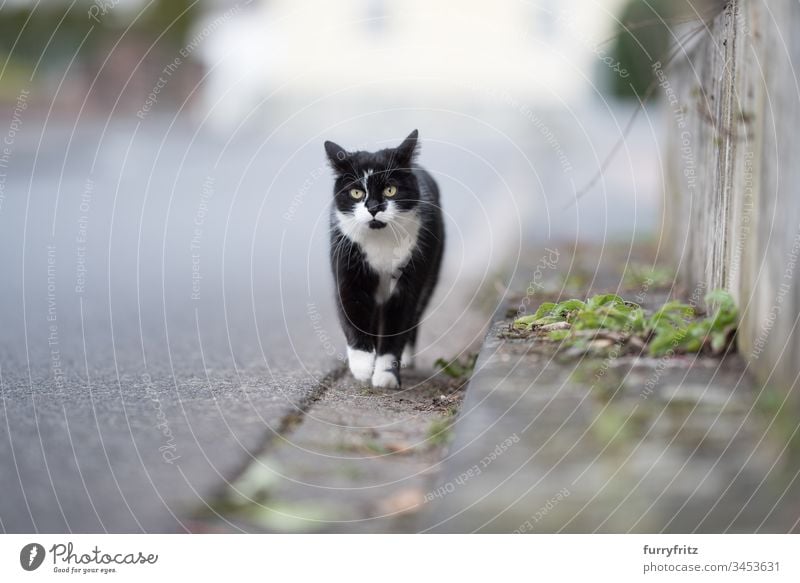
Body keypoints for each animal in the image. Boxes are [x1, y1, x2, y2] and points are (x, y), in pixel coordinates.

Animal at [328, 131, 446, 388]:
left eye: (390, 190)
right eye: (356, 192)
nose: (373, 208)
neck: (380, 240)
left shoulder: (409, 279)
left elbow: (398, 325)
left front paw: (386, 376)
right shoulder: (347, 267)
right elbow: (352, 312)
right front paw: (363, 366)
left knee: (415, 316)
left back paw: (407, 359)